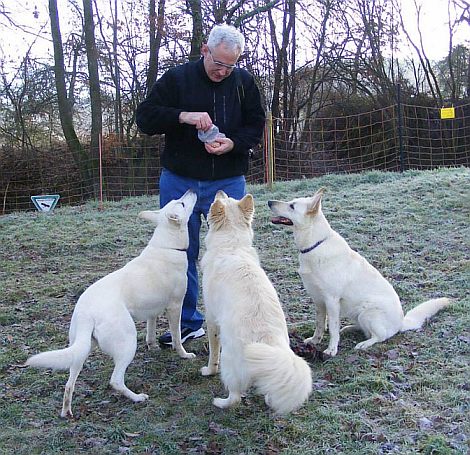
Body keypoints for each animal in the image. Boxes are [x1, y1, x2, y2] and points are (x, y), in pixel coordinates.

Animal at [25, 189, 198, 416]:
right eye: (182, 203)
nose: (192, 190)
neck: (168, 245)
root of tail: (86, 312)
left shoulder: (152, 311)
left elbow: (150, 332)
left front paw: (152, 347)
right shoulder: (175, 306)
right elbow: (177, 337)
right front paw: (184, 355)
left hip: (81, 349)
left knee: (69, 384)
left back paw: (67, 412)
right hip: (127, 342)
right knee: (115, 380)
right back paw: (137, 397)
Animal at [199, 191, 312, 416]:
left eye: (220, 200)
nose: (219, 191)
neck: (232, 246)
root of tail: (266, 340)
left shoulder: (211, 319)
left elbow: (213, 352)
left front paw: (208, 370)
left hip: (230, 362)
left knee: (235, 396)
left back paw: (220, 402)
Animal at [266, 187, 450, 358]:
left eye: (292, 206)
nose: (269, 202)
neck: (315, 244)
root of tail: (401, 323)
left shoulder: (331, 301)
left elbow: (332, 328)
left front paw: (331, 350)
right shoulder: (318, 301)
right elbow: (320, 325)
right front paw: (315, 341)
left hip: (367, 313)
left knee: (379, 336)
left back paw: (364, 344)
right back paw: (348, 328)